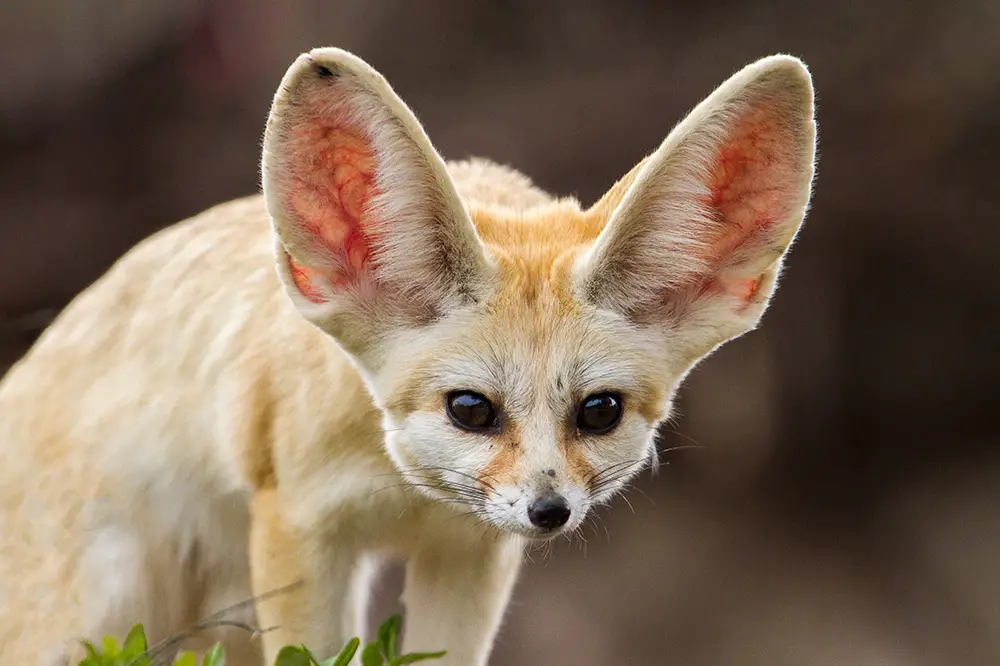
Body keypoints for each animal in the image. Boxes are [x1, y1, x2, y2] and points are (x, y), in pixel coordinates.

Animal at [0, 48, 812, 664]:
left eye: (599, 412)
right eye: (470, 409)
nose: (549, 511)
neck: (403, 492)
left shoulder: (470, 550)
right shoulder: (302, 526)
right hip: (101, 613)